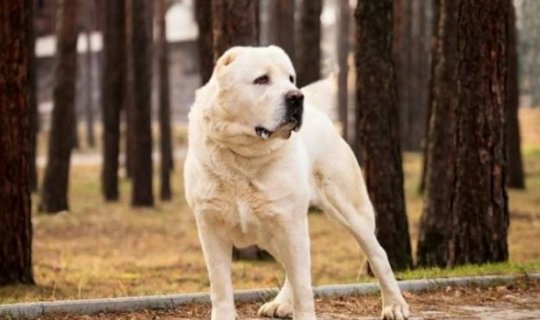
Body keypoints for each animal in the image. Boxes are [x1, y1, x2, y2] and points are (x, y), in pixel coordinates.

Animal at [184, 45, 408, 320]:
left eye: (290, 78)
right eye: (262, 79)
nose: (296, 97)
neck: (244, 159)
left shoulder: (290, 224)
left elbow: (303, 286)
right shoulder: (211, 229)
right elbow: (220, 288)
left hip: (349, 210)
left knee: (377, 254)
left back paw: (395, 305)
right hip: (272, 233)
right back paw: (280, 303)